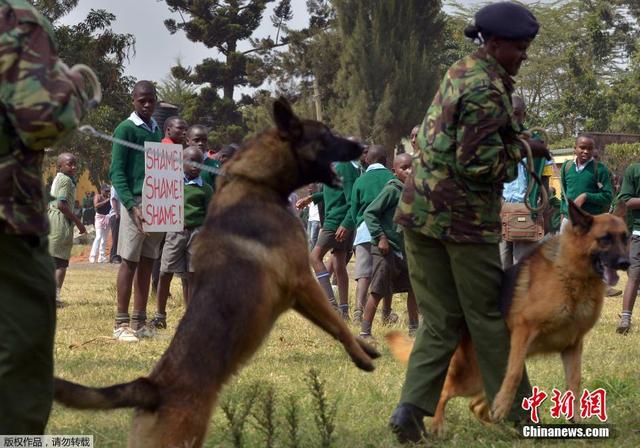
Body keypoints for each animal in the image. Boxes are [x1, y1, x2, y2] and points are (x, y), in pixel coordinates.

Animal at [53, 100, 380, 446]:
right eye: (327, 135)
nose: (361, 147)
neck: (255, 182)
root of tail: (152, 387)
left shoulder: (297, 295)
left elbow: (331, 325)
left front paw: (365, 347)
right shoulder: (303, 280)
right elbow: (338, 324)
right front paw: (361, 354)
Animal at [388, 200, 628, 438]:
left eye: (625, 238)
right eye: (605, 239)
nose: (626, 263)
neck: (571, 274)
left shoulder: (572, 346)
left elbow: (575, 382)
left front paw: (577, 421)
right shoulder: (524, 330)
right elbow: (514, 374)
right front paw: (504, 405)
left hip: (480, 381)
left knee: (476, 405)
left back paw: (502, 427)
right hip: (471, 377)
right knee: (445, 391)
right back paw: (438, 425)